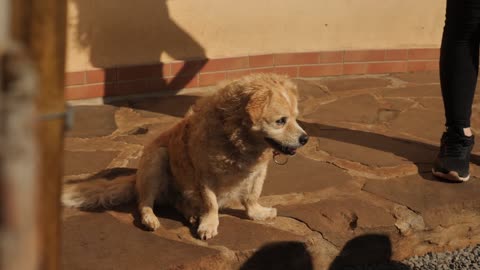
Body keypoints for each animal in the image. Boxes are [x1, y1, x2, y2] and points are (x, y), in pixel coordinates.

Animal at [62, 73, 308, 239]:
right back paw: (152, 218)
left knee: (179, 202)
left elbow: (251, 197)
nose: (305, 138)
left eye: (296, 118)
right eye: (280, 121)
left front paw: (257, 214)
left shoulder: (257, 173)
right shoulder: (205, 175)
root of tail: (135, 178)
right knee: (144, 202)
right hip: (157, 159)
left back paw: (191, 213)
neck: (237, 139)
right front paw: (209, 224)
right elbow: (211, 203)